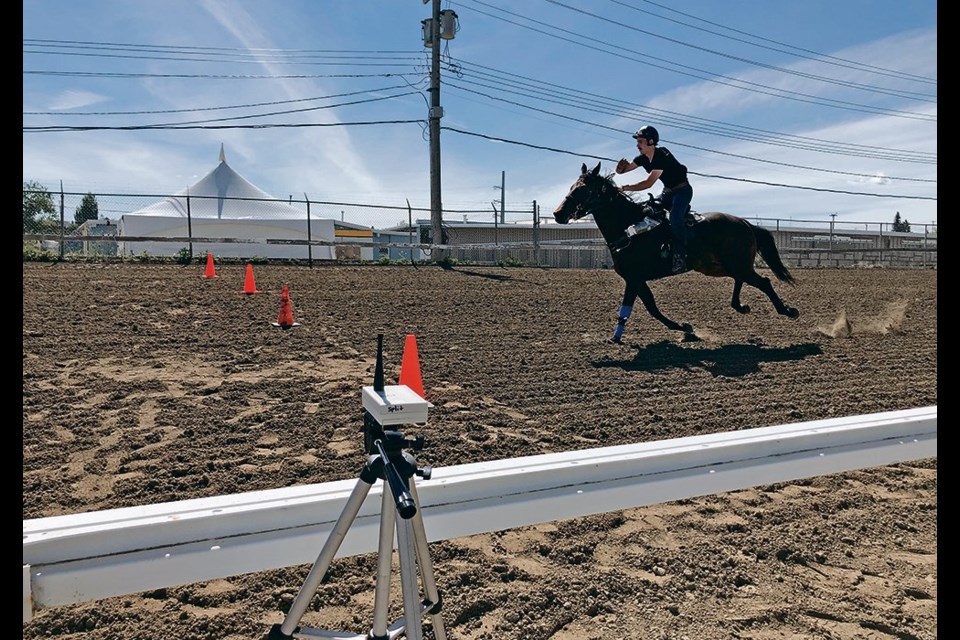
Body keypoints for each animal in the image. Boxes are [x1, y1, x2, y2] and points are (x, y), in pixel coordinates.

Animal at [552, 162, 800, 342]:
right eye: (572, 186)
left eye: (583, 189)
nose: (557, 213)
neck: (628, 227)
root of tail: (745, 223)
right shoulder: (636, 280)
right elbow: (649, 307)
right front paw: (682, 327)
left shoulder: (633, 278)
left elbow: (641, 307)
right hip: (720, 266)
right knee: (742, 279)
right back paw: (740, 306)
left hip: (735, 264)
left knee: (764, 282)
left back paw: (788, 311)